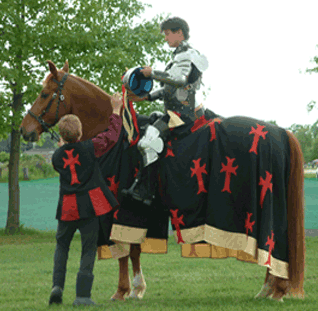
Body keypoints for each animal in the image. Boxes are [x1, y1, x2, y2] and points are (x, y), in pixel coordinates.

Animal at [20, 60, 306, 302]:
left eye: (44, 94)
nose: (25, 130)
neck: (117, 135)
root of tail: (280, 132)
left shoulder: (123, 210)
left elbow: (127, 250)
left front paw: (125, 291)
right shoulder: (140, 212)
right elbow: (134, 249)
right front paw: (135, 289)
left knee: (275, 244)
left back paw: (276, 290)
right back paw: (268, 289)